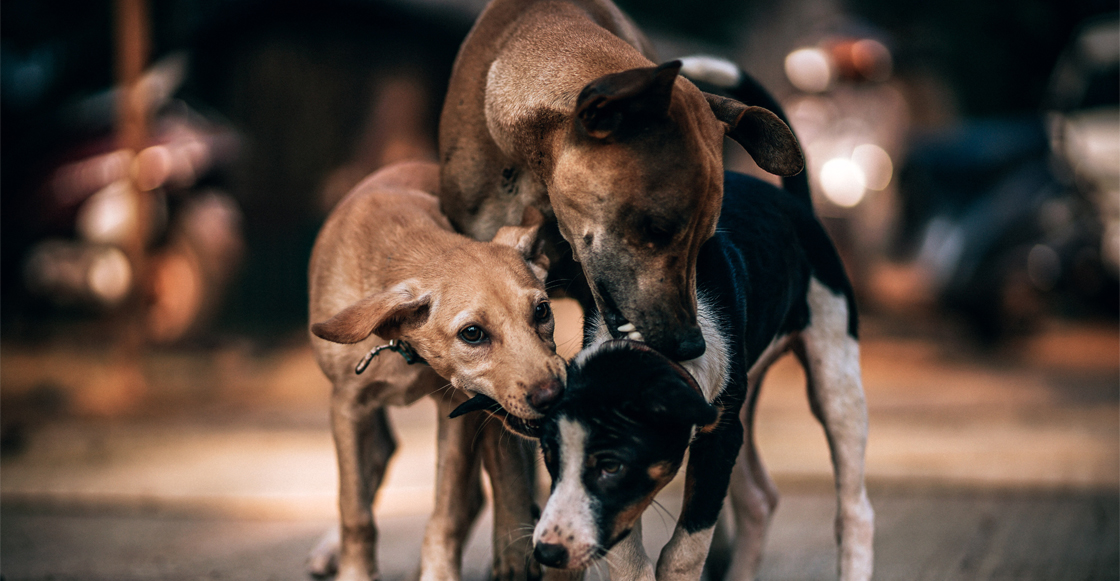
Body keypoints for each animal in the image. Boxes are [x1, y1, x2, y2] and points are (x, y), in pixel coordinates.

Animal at [306, 161, 564, 581]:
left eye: (542, 311)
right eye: (472, 333)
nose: (553, 396)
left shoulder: (456, 409)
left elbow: (448, 512)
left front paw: (438, 572)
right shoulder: (347, 405)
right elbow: (354, 509)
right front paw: (355, 572)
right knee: (375, 462)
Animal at [517, 164, 873, 581]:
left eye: (611, 466)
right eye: (550, 457)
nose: (548, 552)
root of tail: (798, 205)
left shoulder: (721, 436)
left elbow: (686, 548)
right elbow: (629, 558)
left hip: (835, 373)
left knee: (854, 510)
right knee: (759, 500)